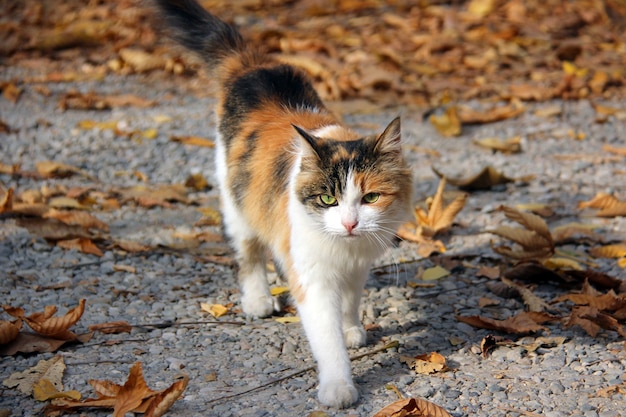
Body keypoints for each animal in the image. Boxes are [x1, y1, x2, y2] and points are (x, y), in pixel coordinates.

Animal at [154, 0, 412, 406]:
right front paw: (338, 386)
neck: (343, 250)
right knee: (249, 254)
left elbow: (351, 301)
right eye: (328, 198)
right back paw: (258, 299)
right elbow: (327, 339)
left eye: (370, 197)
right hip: (236, 205)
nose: (350, 224)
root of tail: (251, 64)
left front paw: (351, 328)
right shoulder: (312, 277)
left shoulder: (357, 266)